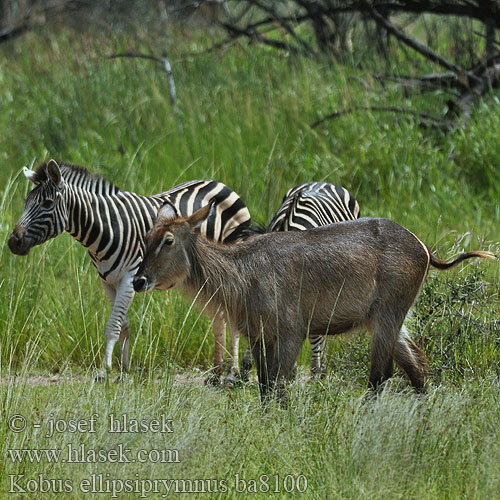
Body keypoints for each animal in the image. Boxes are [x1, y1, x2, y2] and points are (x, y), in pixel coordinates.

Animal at [10, 160, 254, 382]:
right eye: (25, 202)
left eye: (47, 203)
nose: (13, 242)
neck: (105, 229)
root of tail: (220, 183)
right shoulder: (108, 281)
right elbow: (123, 324)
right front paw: (124, 371)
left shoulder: (130, 278)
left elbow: (113, 325)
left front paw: (104, 370)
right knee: (219, 316)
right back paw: (217, 371)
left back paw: (232, 373)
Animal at [134, 203, 496, 398]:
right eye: (147, 236)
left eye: (168, 240)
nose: (138, 281)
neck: (242, 275)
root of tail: (424, 248)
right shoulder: (259, 335)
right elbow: (264, 388)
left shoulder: (292, 331)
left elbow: (279, 387)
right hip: (388, 320)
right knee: (417, 366)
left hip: (387, 316)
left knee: (380, 377)